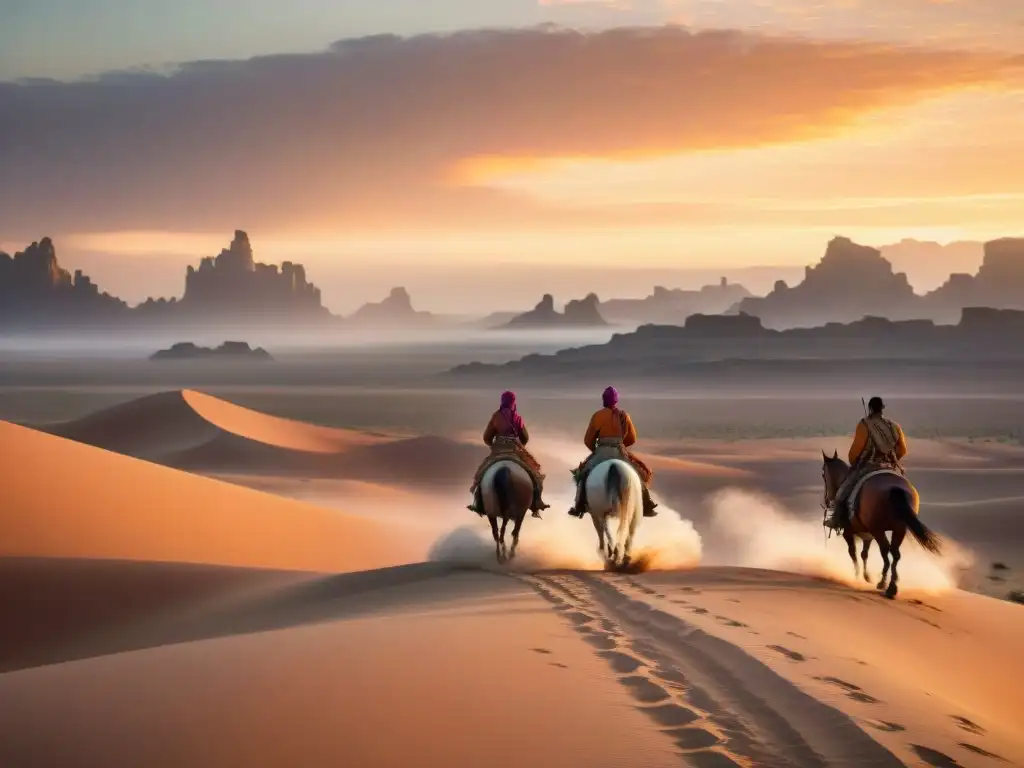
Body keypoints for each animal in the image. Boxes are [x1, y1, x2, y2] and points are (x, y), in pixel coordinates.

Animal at [823, 450, 942, 602]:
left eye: (823, 474)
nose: (827, 500)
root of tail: (895, 488)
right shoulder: (868, 535)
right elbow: (864, 554)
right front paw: (866, 576)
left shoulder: (849, 532)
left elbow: (853, 552)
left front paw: (858, 576)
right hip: (899, 529)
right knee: (895, 553)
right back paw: (891, 587)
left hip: (878, 529)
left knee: (885, 551)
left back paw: (882, 582)